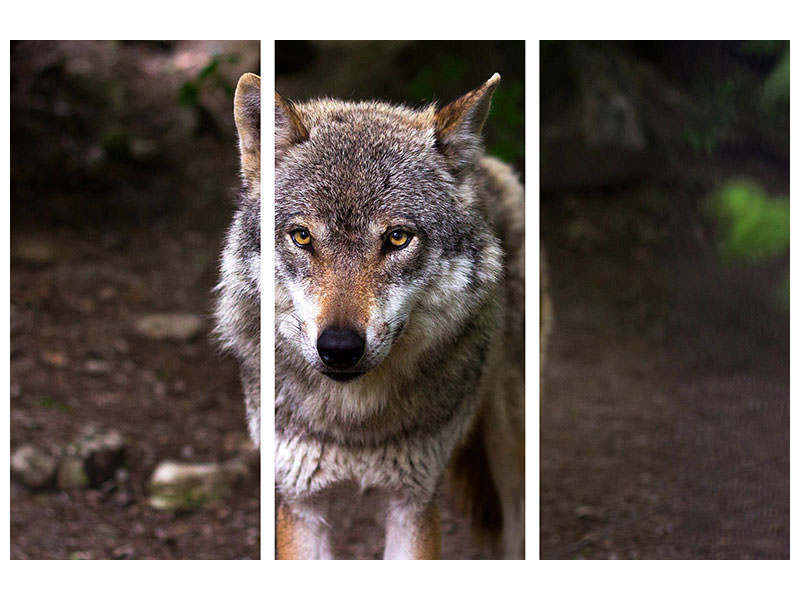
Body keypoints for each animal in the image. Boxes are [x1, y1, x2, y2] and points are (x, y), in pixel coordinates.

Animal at [275, 74, 524, 559]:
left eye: (397, 238)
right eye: (302, 236)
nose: (339, 348)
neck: (353, 424)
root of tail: (483, 163)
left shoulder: (414, 499)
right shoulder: (300, 501)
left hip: (509, 444)